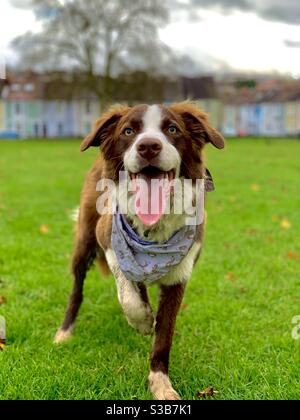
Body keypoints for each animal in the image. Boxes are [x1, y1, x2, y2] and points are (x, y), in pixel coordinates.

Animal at [55, 102, 224, 400]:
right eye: (128, 131)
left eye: (172, 129)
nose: (148, 146)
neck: (153, 232)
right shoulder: (109, 241)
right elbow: (128, 292)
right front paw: (143, 320)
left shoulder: (180, 274)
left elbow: (164, 333)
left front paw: (161, 383)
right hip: (84, 242)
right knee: (77, 289)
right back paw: (64, 333)